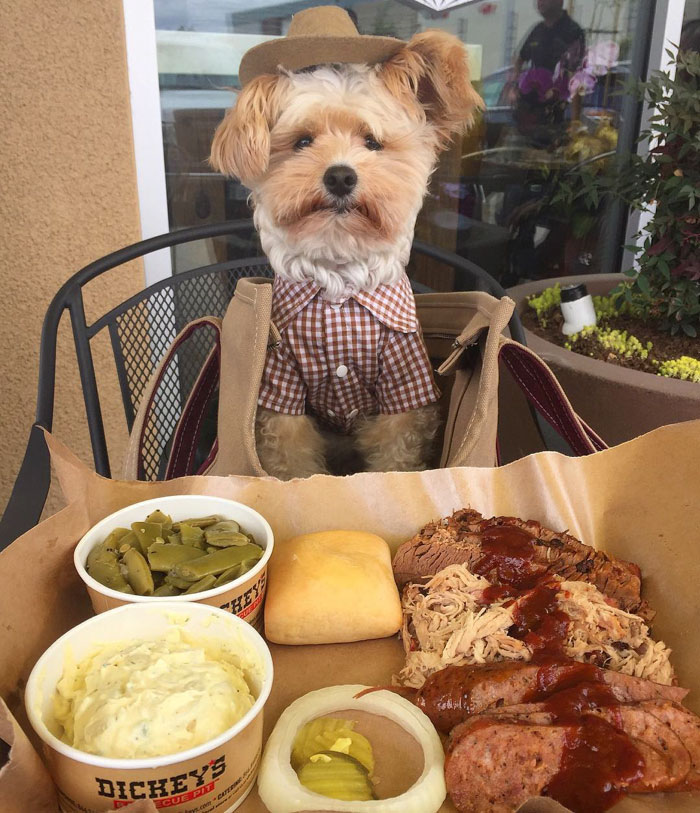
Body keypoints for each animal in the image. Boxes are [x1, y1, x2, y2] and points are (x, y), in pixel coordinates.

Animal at [208, 9, 482, 478]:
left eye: (372, 142)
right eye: (303, 141)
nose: (339, 175)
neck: (338, 280)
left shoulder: (404, 390)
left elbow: (394, 459)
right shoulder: (281, 394)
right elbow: (294, 465)